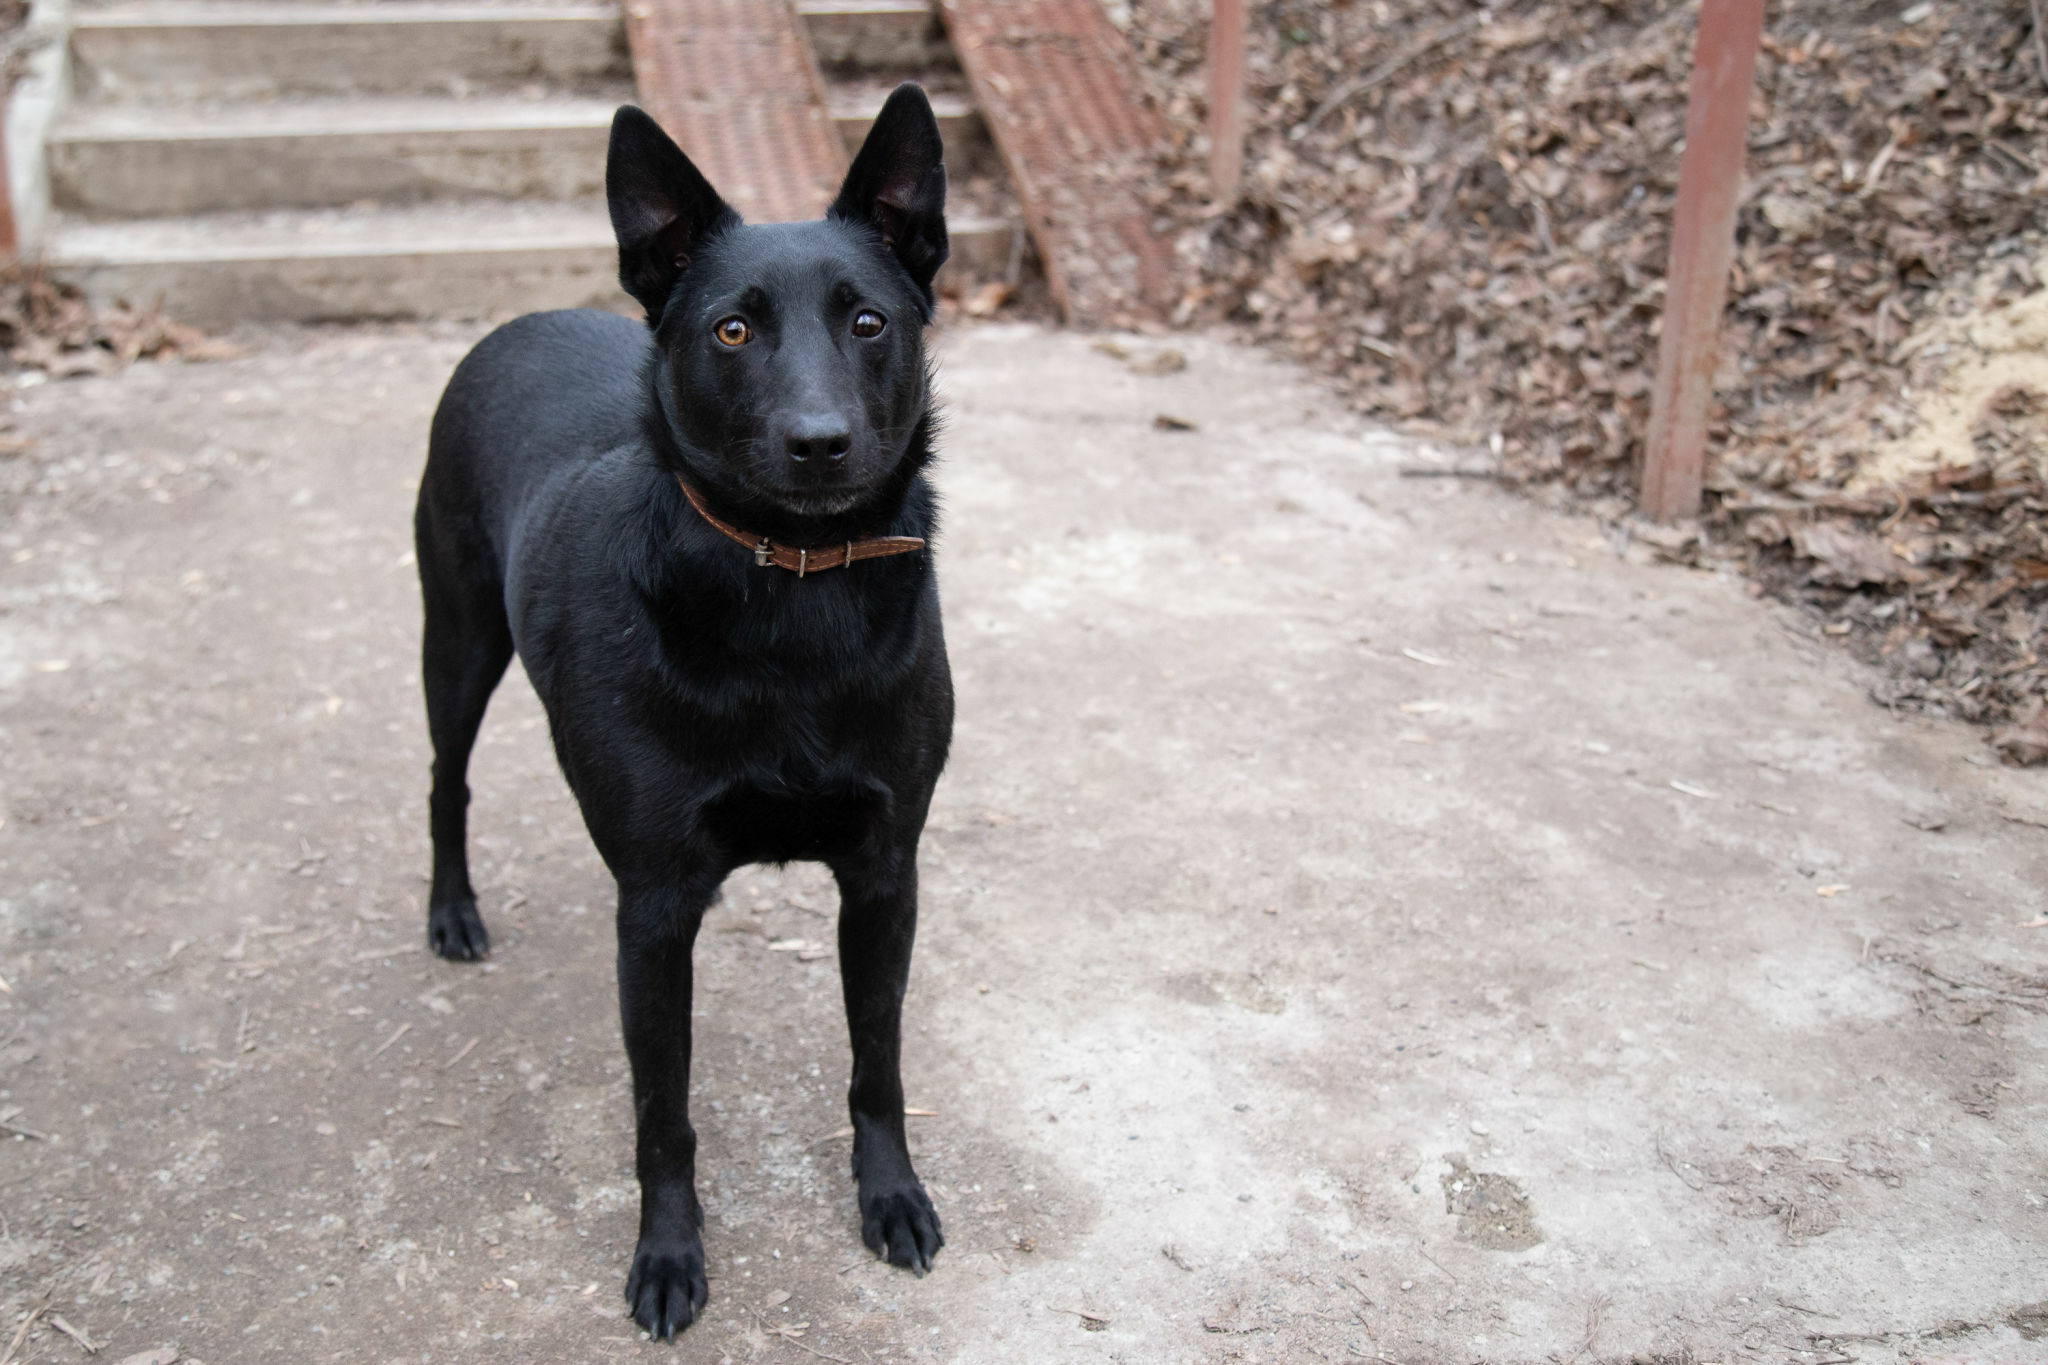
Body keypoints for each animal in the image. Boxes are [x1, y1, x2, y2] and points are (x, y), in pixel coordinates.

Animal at [417, 82, 958, 1334]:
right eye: (732, 331)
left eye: (869, 323)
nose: (819, 444)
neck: (792, 598)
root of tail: (522, 321)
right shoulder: (658, 910)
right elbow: (662, 1116)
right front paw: (667, 1255)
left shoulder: (885, 875)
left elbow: (877, 1064)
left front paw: (891, 1197)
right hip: (455, 644)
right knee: (443, 779)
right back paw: (453, 911)